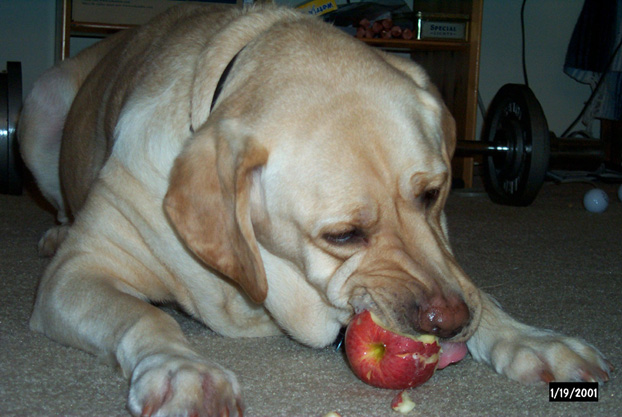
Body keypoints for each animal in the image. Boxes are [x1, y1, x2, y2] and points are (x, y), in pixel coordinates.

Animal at [18, 4, 608, 416]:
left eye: (433, 194)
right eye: (343, 235)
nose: (451, 324)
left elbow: (477, 289)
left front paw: (530, 338)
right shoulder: (77, 273)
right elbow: (145, 314)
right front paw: (184, 372)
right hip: (37, 112)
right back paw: (53, 233)